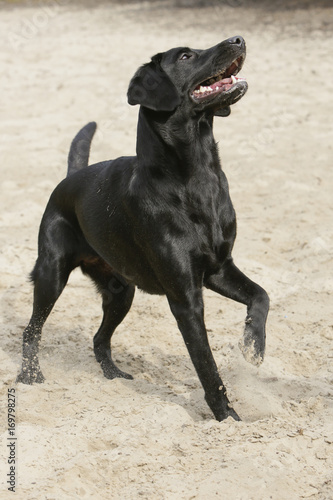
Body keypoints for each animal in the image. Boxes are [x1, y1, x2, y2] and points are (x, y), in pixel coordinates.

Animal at [17, 35, 268, 420]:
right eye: (185, 56)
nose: (238, 38)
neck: (197, 175)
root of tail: (71, 177)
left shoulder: (219, 270)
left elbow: (261, 295)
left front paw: (253, 346)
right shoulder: (185, 298)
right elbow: (207, 366)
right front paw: (227, 418)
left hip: (122, 291)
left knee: (99, 339)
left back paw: (114, 376)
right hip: (51, 274)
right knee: (32, 330)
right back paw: (30, 377)